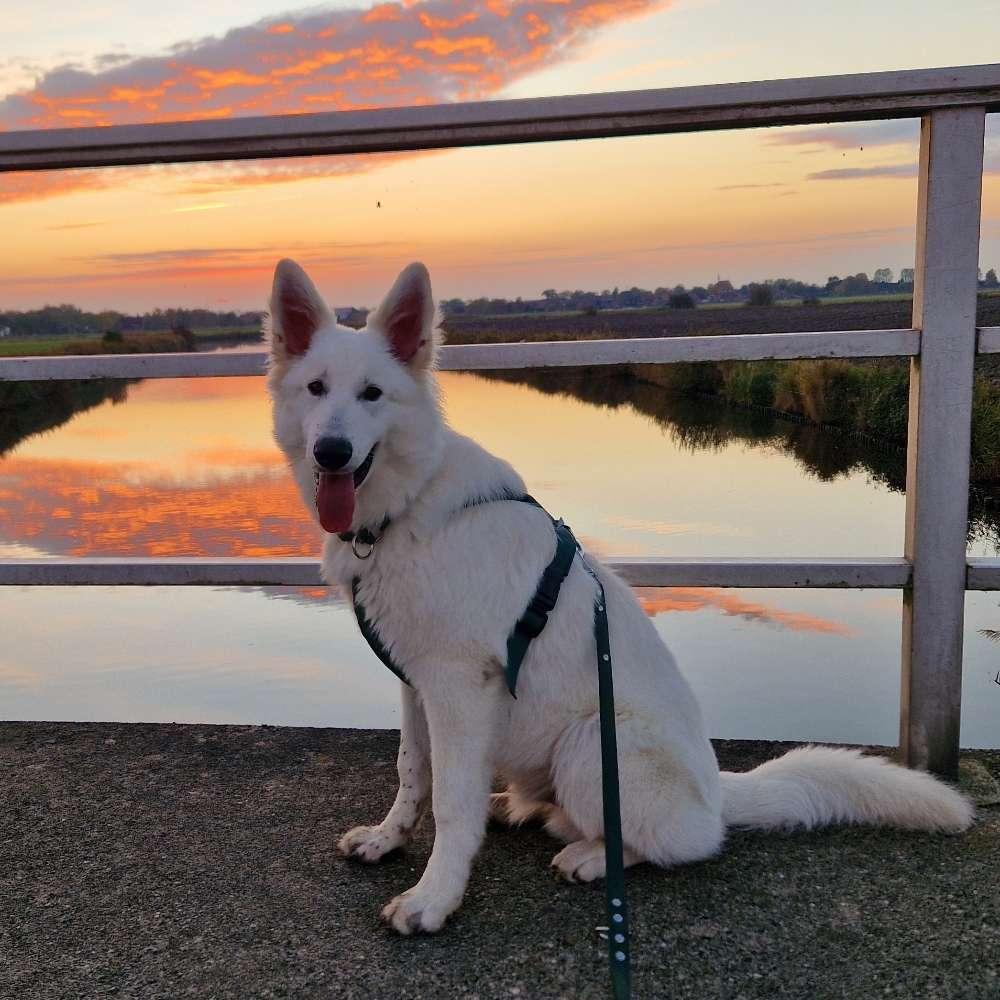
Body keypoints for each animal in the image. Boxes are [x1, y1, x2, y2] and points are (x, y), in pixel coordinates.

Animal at [270, 258, 972, 936]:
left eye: (372, 394)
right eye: (315, 389)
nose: (330, 452)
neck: (409, 505)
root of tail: (717, 792)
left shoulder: (459, 689)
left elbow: (450, 804)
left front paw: (434, 899)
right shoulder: (418, 684)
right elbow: (413, 772)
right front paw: (388, 840)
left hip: (592, 742)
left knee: (676, 843)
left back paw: (589, 856)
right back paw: (518, 809)